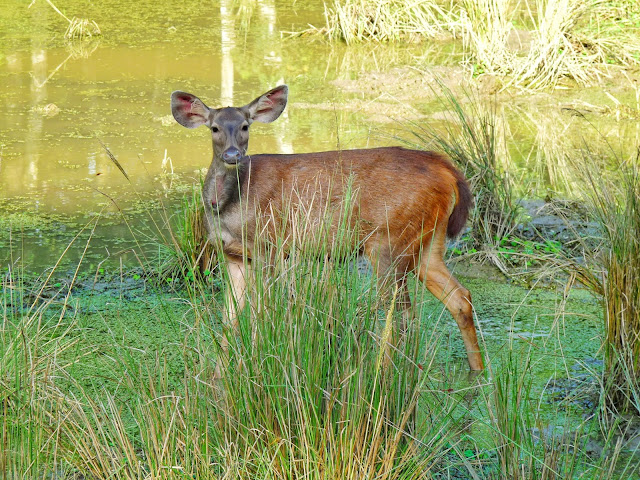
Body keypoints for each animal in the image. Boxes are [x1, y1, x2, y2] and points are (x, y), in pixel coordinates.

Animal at [170, 84, 484, 374]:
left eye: (246, 125)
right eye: (214, 128)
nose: (233, 154)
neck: (229, 207)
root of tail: (447, 170)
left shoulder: (269, 246)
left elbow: (263, 313)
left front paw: (258, 364)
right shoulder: (233, 255)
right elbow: (230, 318)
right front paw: (221, 373)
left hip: (389, 240)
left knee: (401, 312)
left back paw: (381, 373)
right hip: (428, 242)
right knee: (459, 298)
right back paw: (477, 370)